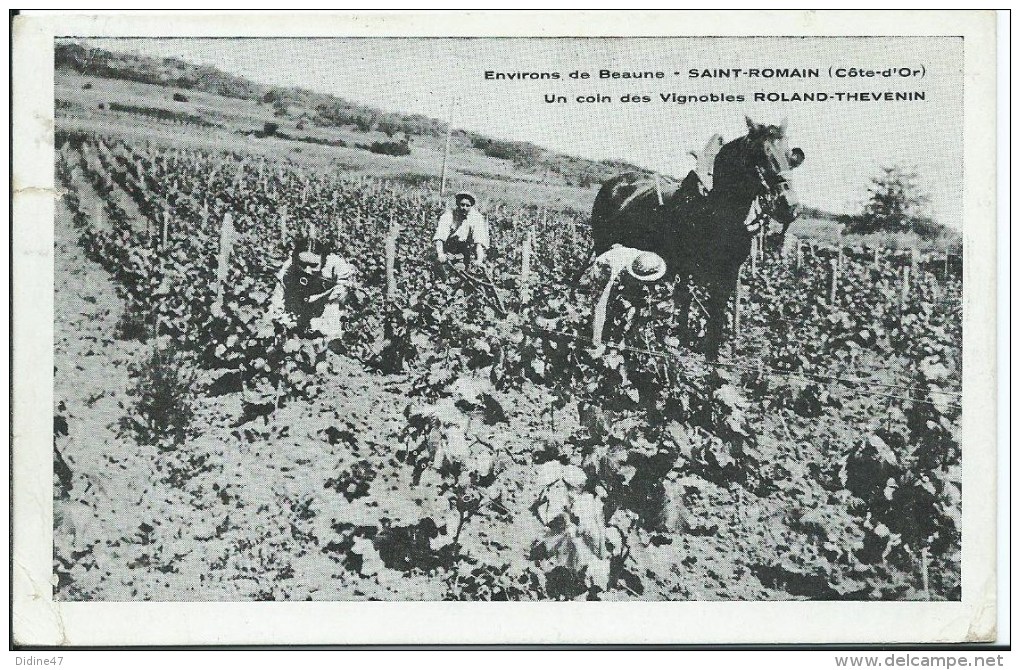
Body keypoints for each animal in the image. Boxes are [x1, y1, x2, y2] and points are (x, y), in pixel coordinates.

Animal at [591, 116, 803, 358]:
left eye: (790, 156)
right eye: (760, 153)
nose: (790, 206)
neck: (715, 213)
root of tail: (615, 181)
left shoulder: (728, 274)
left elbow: (716, 315)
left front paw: (712, 356)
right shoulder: (687, 270)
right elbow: (685, 304)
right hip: (605, 247)